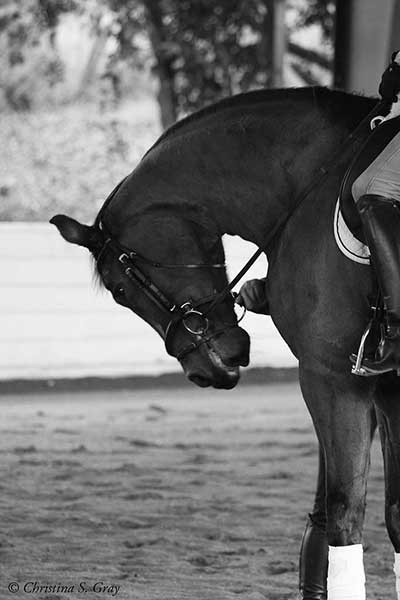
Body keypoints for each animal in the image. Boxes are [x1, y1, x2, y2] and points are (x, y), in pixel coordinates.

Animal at [50, 86, 400, 596]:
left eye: (118, 290)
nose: (203, 371)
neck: (311, 183)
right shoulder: (387, 388)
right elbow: (393, 516)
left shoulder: (333, 378)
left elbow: (343, 512)